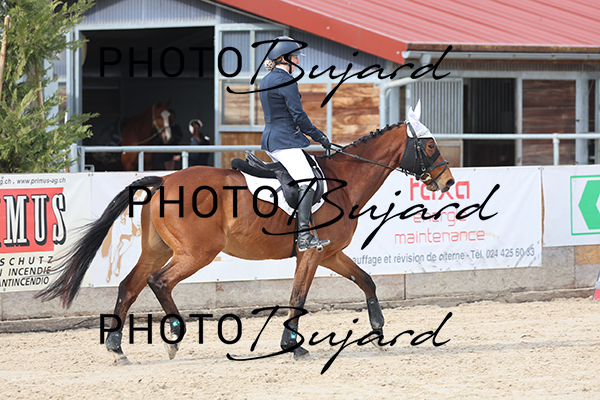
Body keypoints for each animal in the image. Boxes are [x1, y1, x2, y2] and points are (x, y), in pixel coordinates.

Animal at [37, 120, 455, 365]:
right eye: (430, 146)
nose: (448, 181)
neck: (344, 181)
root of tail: (165, 180)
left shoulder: (330, 253)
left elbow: (365, 280)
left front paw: (379, 329)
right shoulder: (313, 253)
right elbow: (298, 295)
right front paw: (293, 345)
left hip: (157, 250)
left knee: (130, 285)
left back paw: (117, 347)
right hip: (196, 254)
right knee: (159, 282)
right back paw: (174, 336)